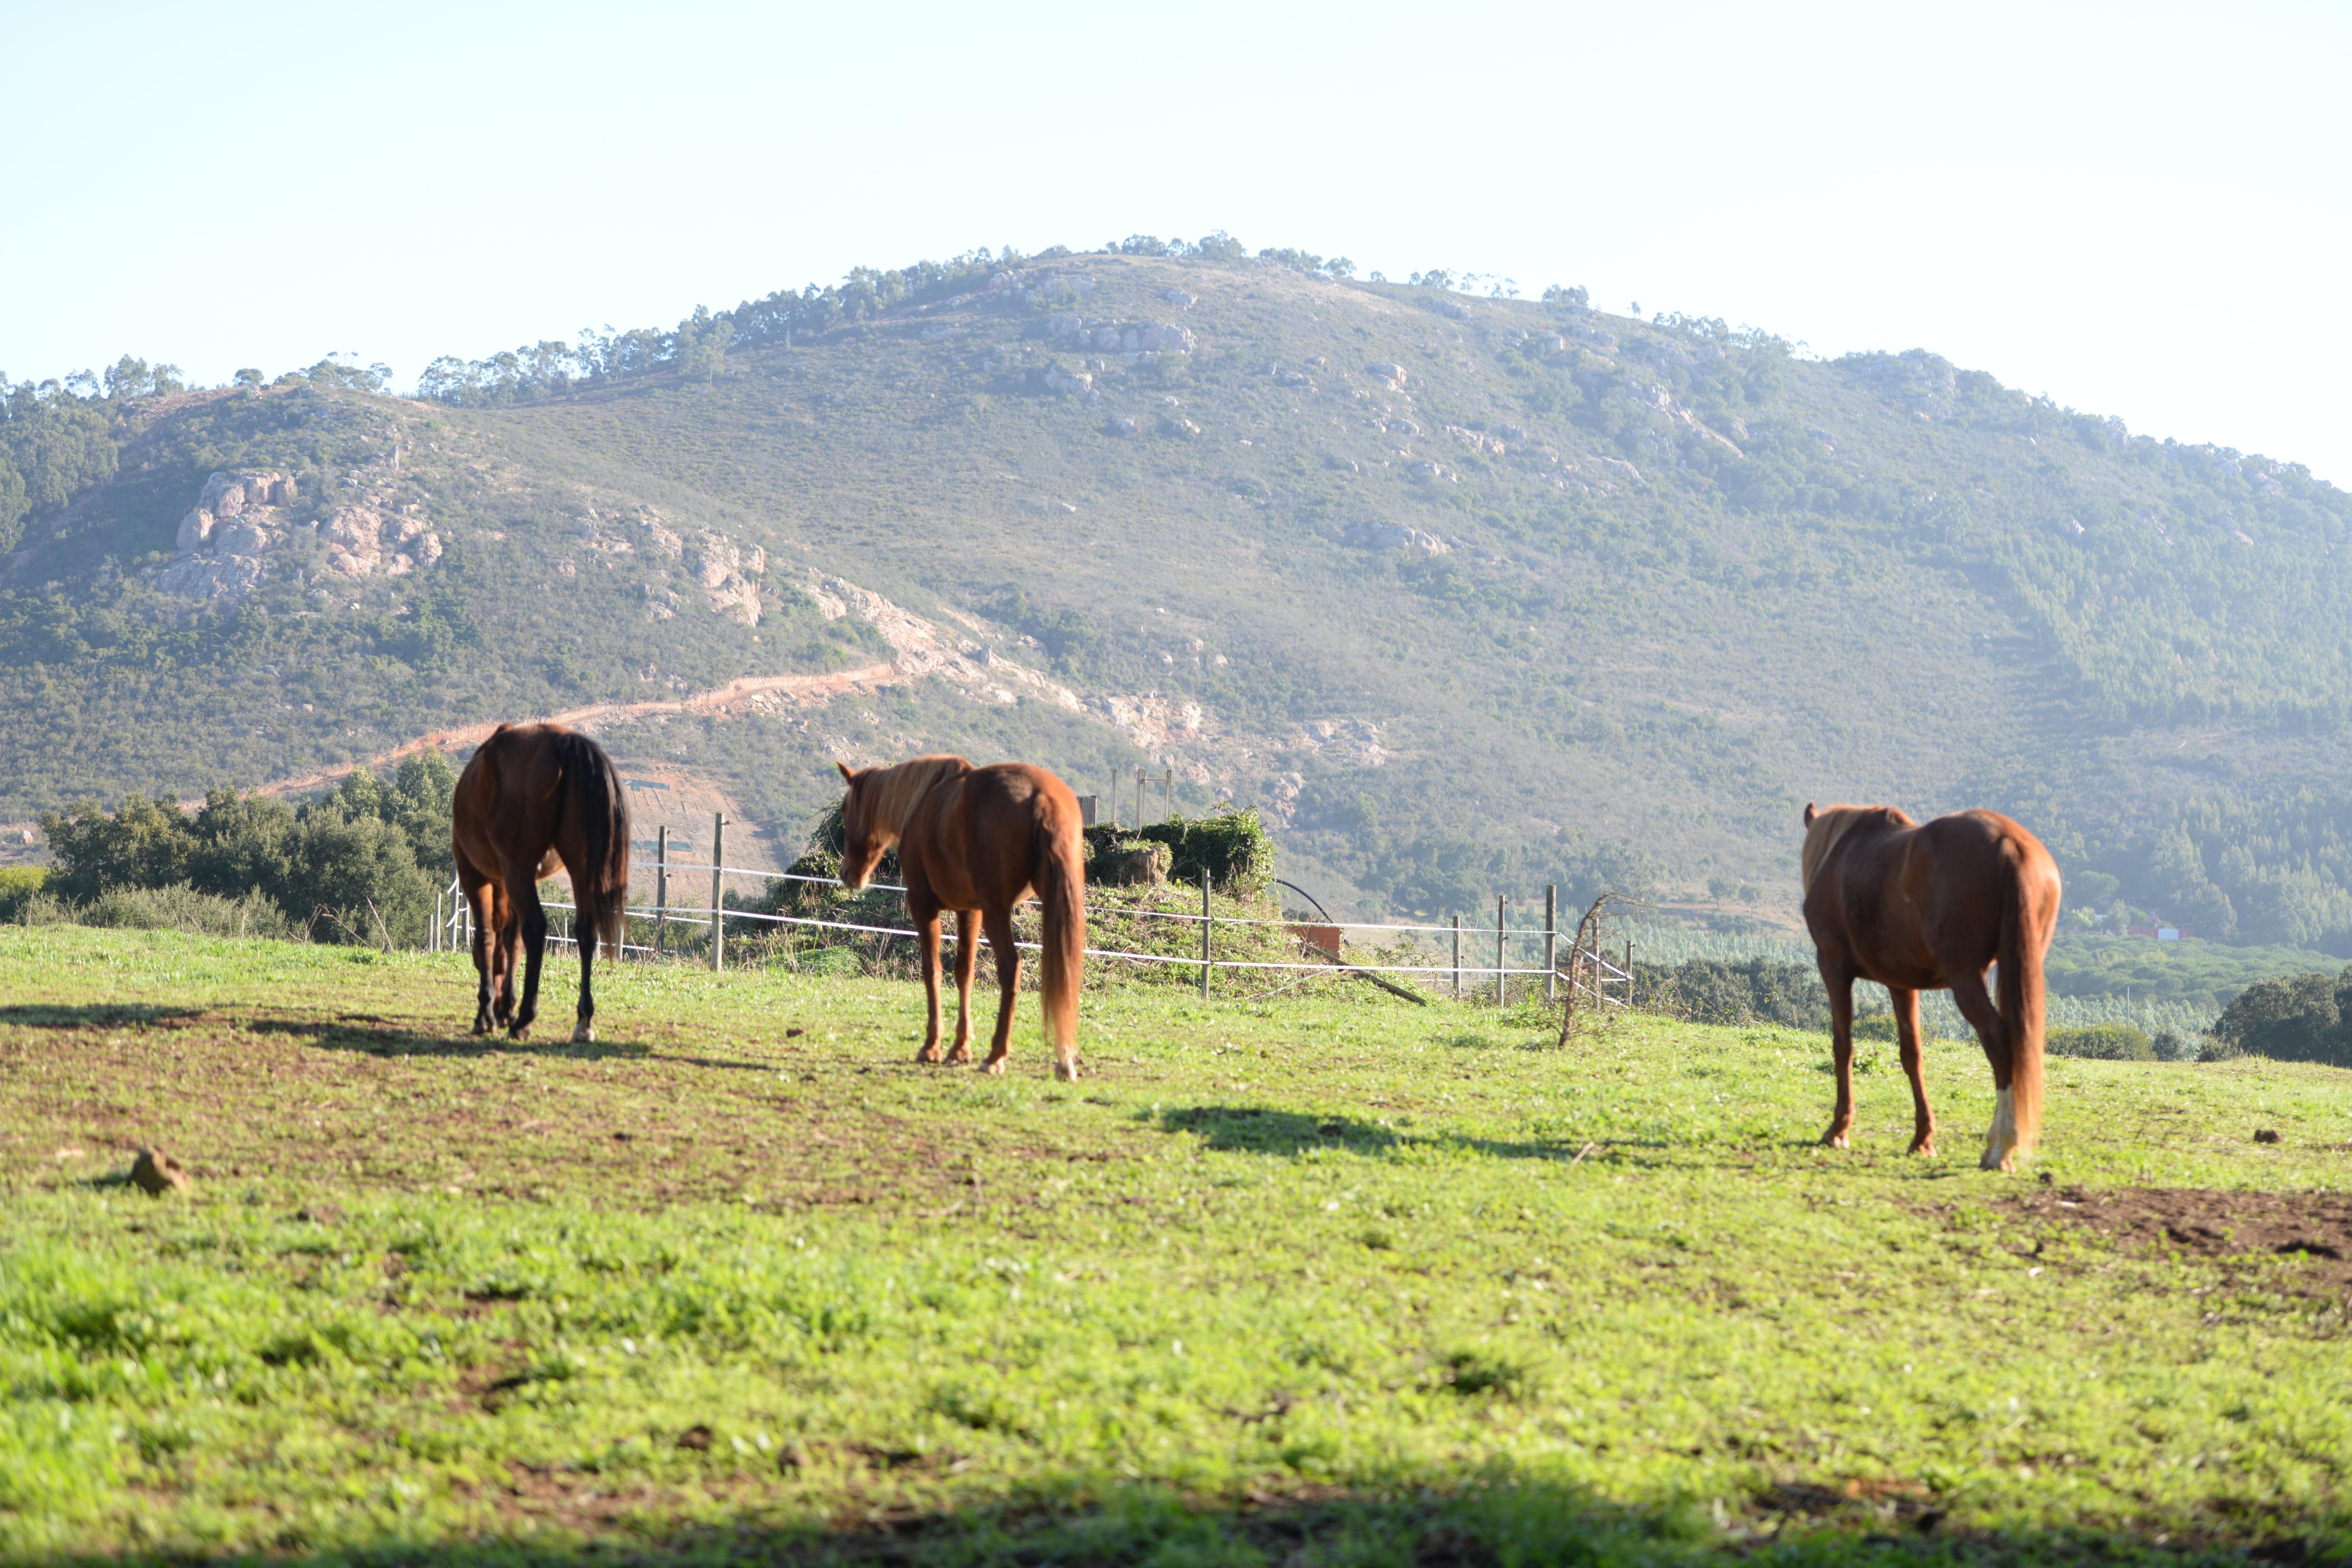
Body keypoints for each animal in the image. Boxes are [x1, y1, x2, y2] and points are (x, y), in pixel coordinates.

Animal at [449, 729, 630, 1048]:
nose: (500, 1008)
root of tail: (562, 741)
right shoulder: (510, 881)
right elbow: (511, 938)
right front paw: (505, 1006)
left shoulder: (476, 875)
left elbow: (488, 937)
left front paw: (487, 1014)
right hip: (579, 868)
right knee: (586, 933)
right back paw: (583, 1021)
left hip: (517, 870)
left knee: (535, 927)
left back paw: (523, 1020)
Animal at [832, 757, 1086, 1081]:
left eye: (845, 809)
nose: (848, 874)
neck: (920, 803)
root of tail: (1041, 795)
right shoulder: (970, 910)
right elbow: (964, 972)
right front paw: (960, 1048)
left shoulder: (923, 904)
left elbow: (932, 970)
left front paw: (931, 1047)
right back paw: (1064, 1060)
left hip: (997, 910)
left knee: (1010, 967)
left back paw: (996, 1055)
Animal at [1797, 804, 2060, 1170]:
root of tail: (2007, 843)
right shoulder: (1901, 984)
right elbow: (1912, 1055)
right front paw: (1923, 1138)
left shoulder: (1833, 967)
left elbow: (1843, 1046)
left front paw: (1838, 1129)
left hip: (1965, 976)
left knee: (1998, 1040)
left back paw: (2001, 1147)